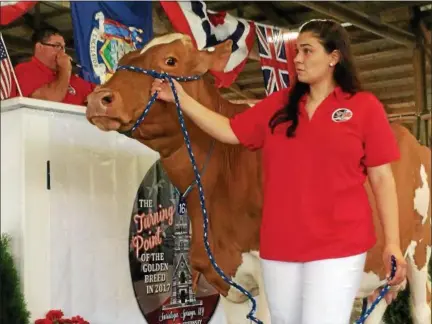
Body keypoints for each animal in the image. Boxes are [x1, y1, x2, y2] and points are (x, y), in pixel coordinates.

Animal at [86, 33, 430, 324]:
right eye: (123, 59)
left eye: (170, 60)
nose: (98, 98)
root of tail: (412, 138)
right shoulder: (229, 283)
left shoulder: (268, 277)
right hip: (384, 268)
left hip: (419, 253)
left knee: (420, 305)